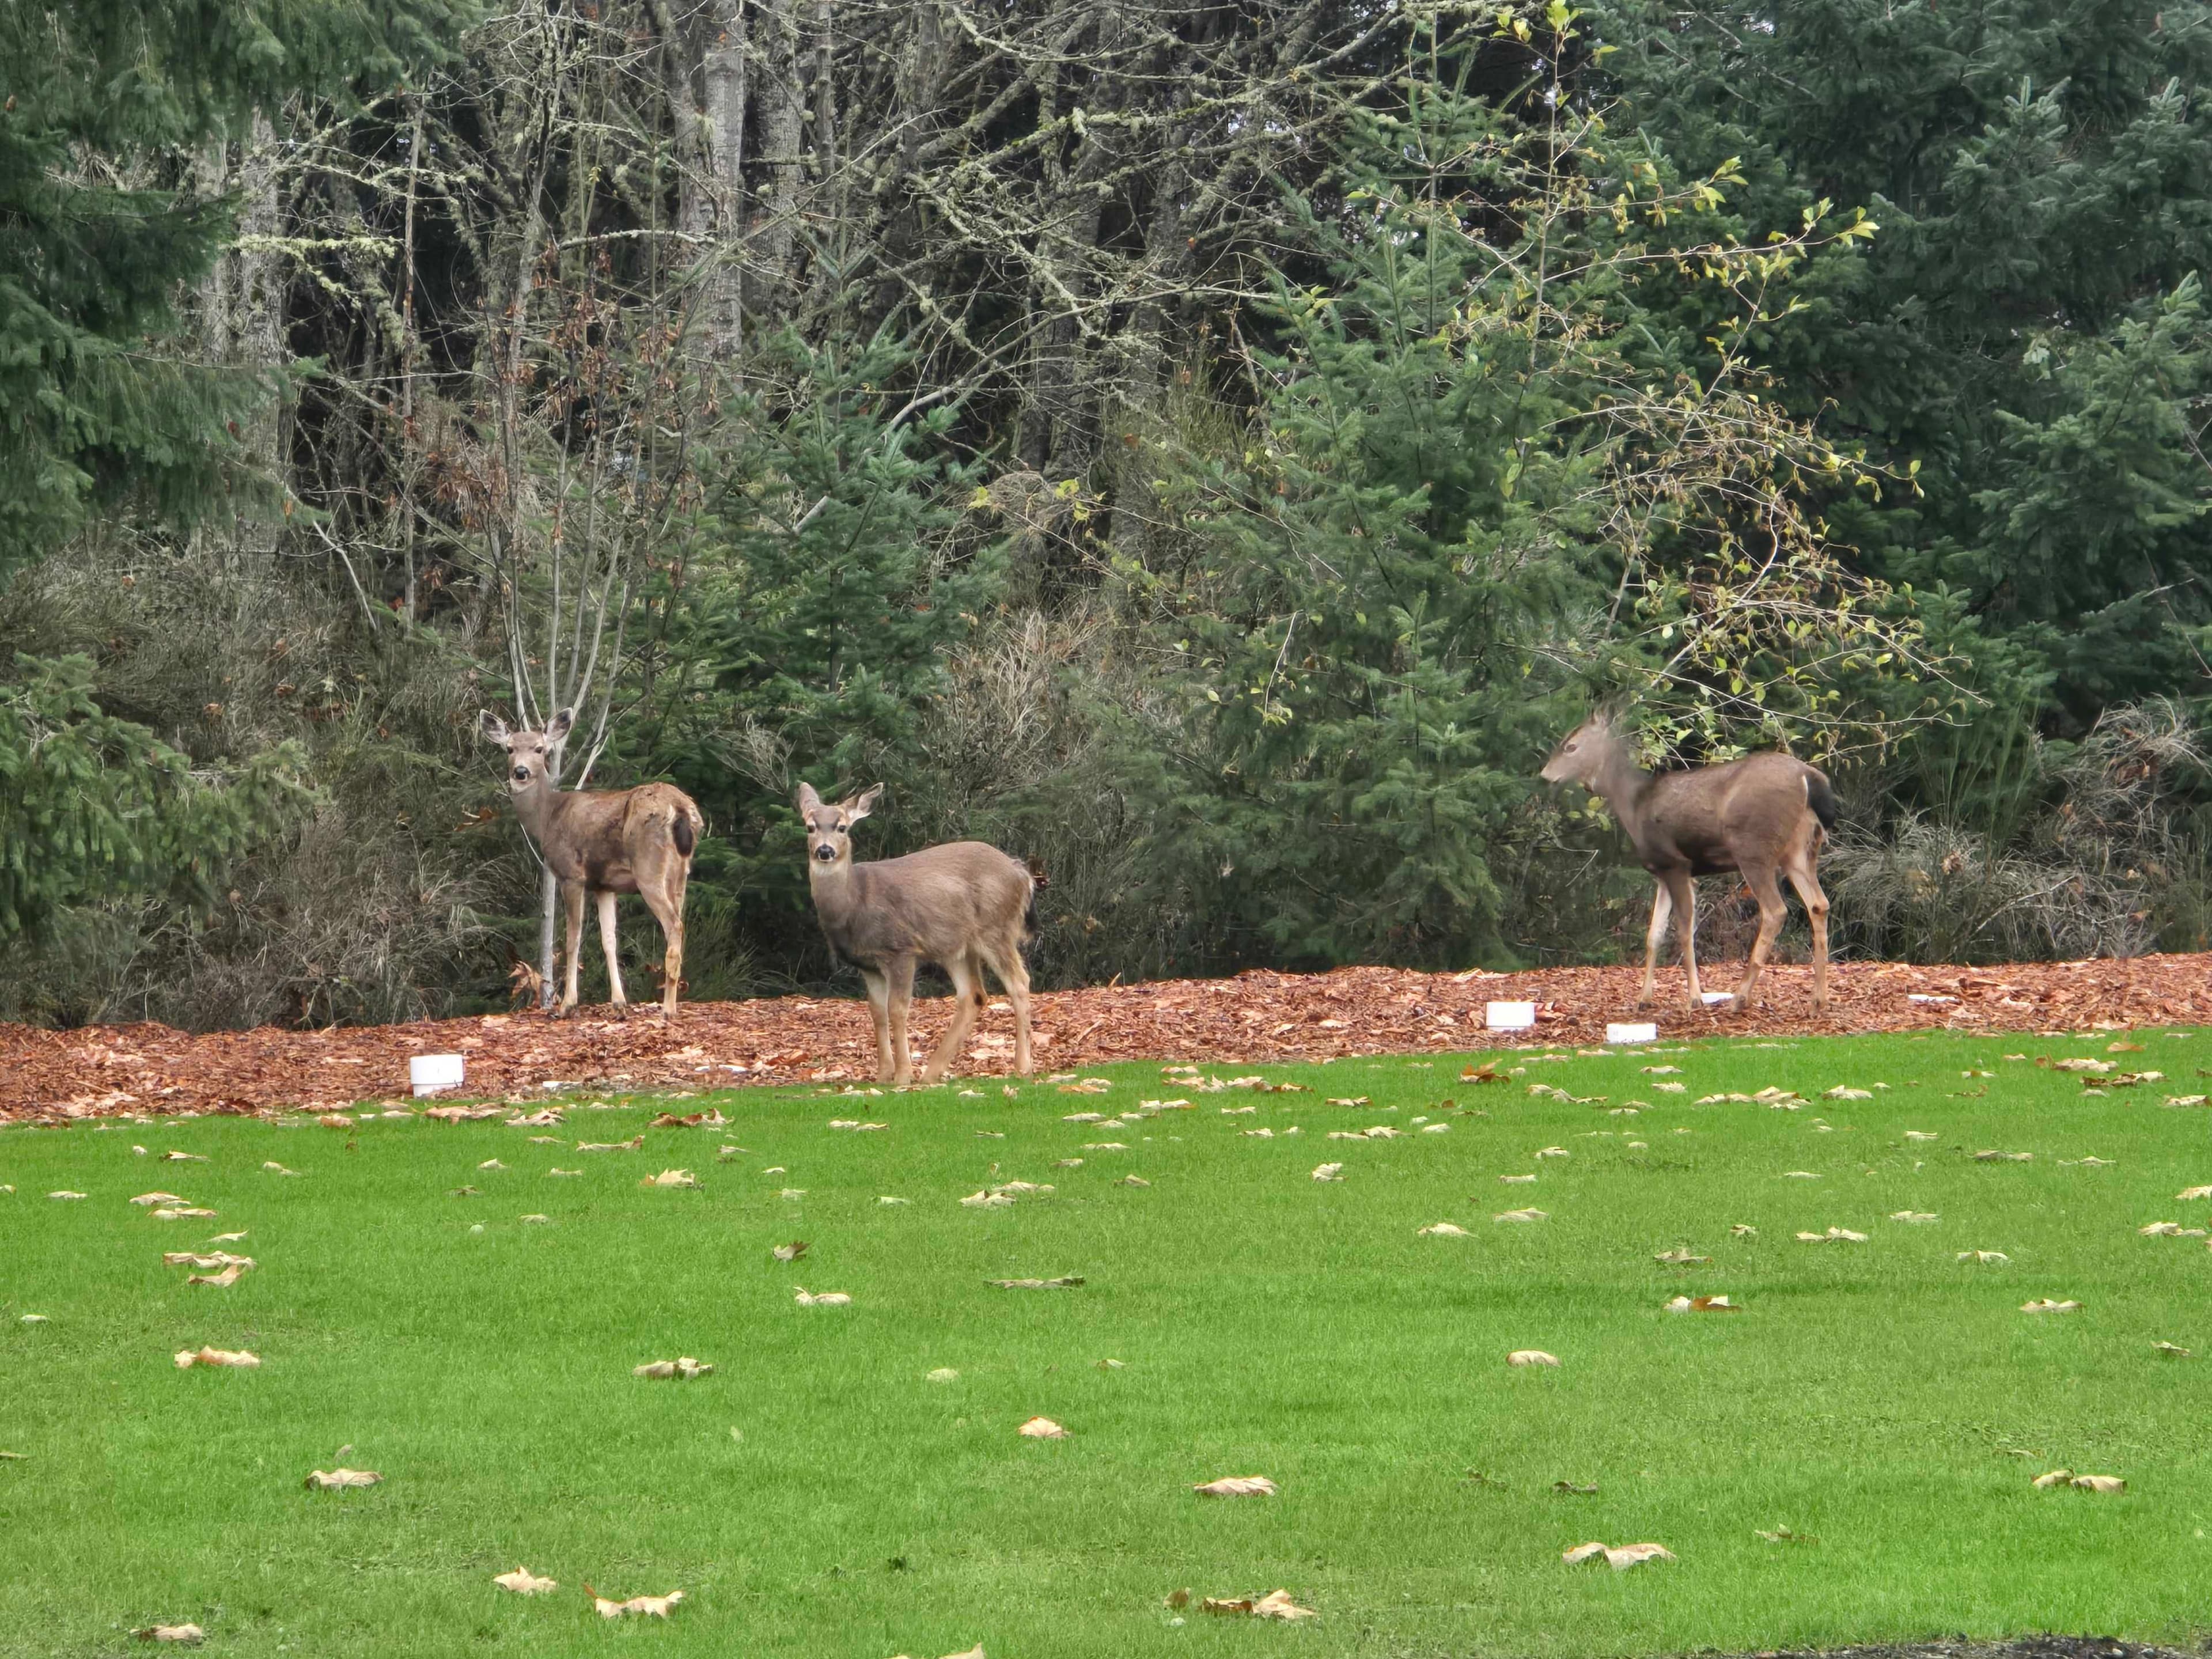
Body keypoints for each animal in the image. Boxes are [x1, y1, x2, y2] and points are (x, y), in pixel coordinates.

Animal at [480, 709, 705, 1017]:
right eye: (510, 749)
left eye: (540, 749)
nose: (521, 772)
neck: (548, 818)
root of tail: (681, 809)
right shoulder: (604, 885)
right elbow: (609, 940)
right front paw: (619, 1002)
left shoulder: (572, 875)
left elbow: (573, 939)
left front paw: (567, 1004)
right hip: (681, 871)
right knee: (680, 922)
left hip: (648, 867)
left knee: (674, 926)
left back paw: (668, 1008)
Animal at [796, 782, 1037, 1087]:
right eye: (810, 827)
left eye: (842, 827)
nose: (825, 851)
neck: (855, 902)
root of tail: (1023, 874)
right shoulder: (869, 965)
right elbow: (878, 1013)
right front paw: (883, 1075)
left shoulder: (901, 950)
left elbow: (898, 1010)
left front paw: (902, 1075)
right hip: (957, 946)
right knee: (974, 995)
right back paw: (933, 1072)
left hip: (997, 928)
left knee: (1019, 982)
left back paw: (1023, 1067)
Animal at [1540, 709, 1837, 1011]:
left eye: (1571, 746)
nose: (1545, 776)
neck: (1634, 803)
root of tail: (1807, 776)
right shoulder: (1661, 871)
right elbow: (1654, 935)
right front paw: (1644, 999)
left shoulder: (1677, 864)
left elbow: (1684, 932)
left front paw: (1694, 998)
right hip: (1800, 849)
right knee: (1819, 904)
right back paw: (1818, 1000)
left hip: (1753, 847)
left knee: (1776, 910)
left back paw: (1739, 998)